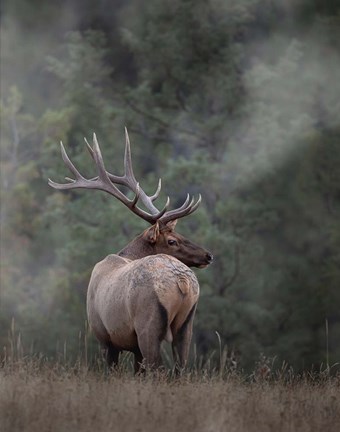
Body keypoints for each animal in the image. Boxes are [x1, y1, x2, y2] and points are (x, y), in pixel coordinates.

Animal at [47, 128, 212, 372]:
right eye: (173, 240)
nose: (208, 255)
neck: (125, 254)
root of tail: (182, 283)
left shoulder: (104, 336)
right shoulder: (132, 347)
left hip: (147, 325)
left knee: (158, 368)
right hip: (186, 325)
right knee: (180, 367)